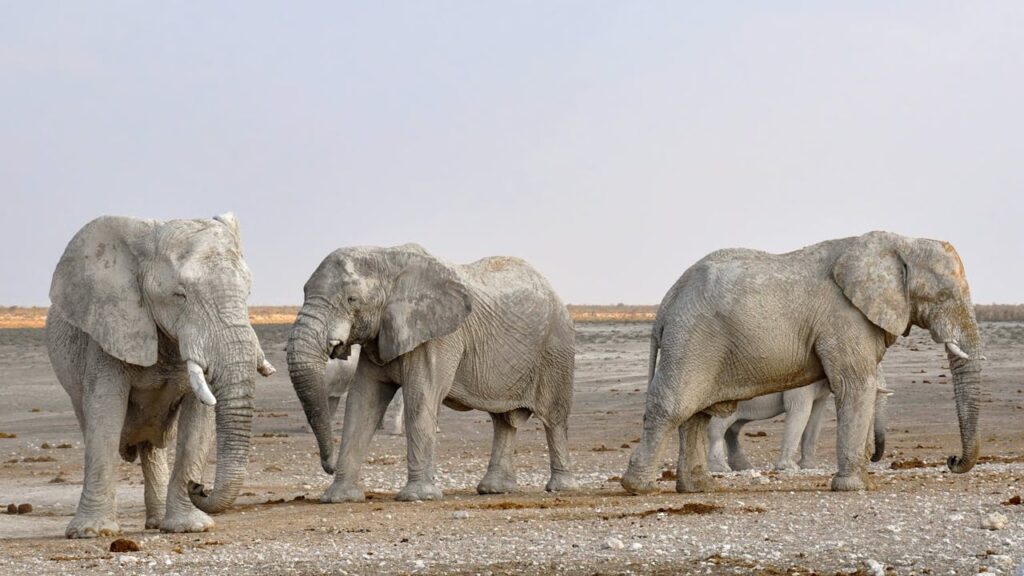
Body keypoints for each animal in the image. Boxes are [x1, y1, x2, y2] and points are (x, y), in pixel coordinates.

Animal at [46, 214, 275, 538]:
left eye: (248, 293)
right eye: (180, 295)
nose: (200, 486)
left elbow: (198, 422)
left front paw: (190, 527)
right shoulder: (108, 330)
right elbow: (105, 414)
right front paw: (91, 532)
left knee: (151, 446)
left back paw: (156, 523)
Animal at [287, 244, 577, 502]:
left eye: (352, 299)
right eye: (304, 291)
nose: (329, 466)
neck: (386, 258)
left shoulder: (439, 337)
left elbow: (421, 397)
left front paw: (418, 496)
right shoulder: (380, 336)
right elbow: (362, 402)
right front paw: (338, 498)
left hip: (556, 347)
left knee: (553, 417)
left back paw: (560, 488)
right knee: (503, 421)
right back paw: (494, 490)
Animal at [706, 370, 891, 473]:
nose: (872, 457)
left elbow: (815, 416)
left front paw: (808, 467)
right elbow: (799, 410)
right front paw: (789, 468)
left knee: (732, 430)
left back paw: (743, 467)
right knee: (718, 428)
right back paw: (720, 469)